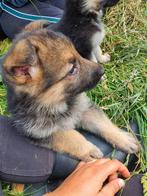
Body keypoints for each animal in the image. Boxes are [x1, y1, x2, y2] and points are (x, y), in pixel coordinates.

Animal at [2, 24, 140, 162]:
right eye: (72, 70)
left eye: (78, 54)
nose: (102, 71)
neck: (58, 104)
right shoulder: (37, 132)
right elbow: (68, 135)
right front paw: (89, 150)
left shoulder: (85, 108)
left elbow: (102, 123)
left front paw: (123, 138)